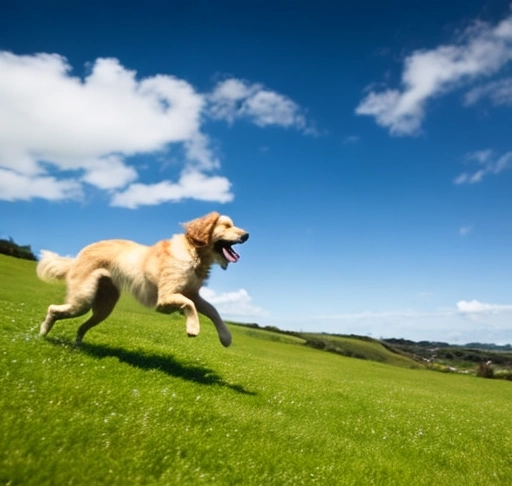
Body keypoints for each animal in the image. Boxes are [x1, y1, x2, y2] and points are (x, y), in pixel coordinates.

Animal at [37, 213, 249, 346]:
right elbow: (190, 306)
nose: (247, 235)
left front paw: (226, 337)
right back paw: (42, 334)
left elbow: (213, 311)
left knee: (81, 327)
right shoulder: (166, 297)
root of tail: (78, 256)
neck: (194, 252)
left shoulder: (193, 294)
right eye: (227, 226)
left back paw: (78, 345)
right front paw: (193, 328)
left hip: (103, 308)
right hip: (82, 300)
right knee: (53, 309)